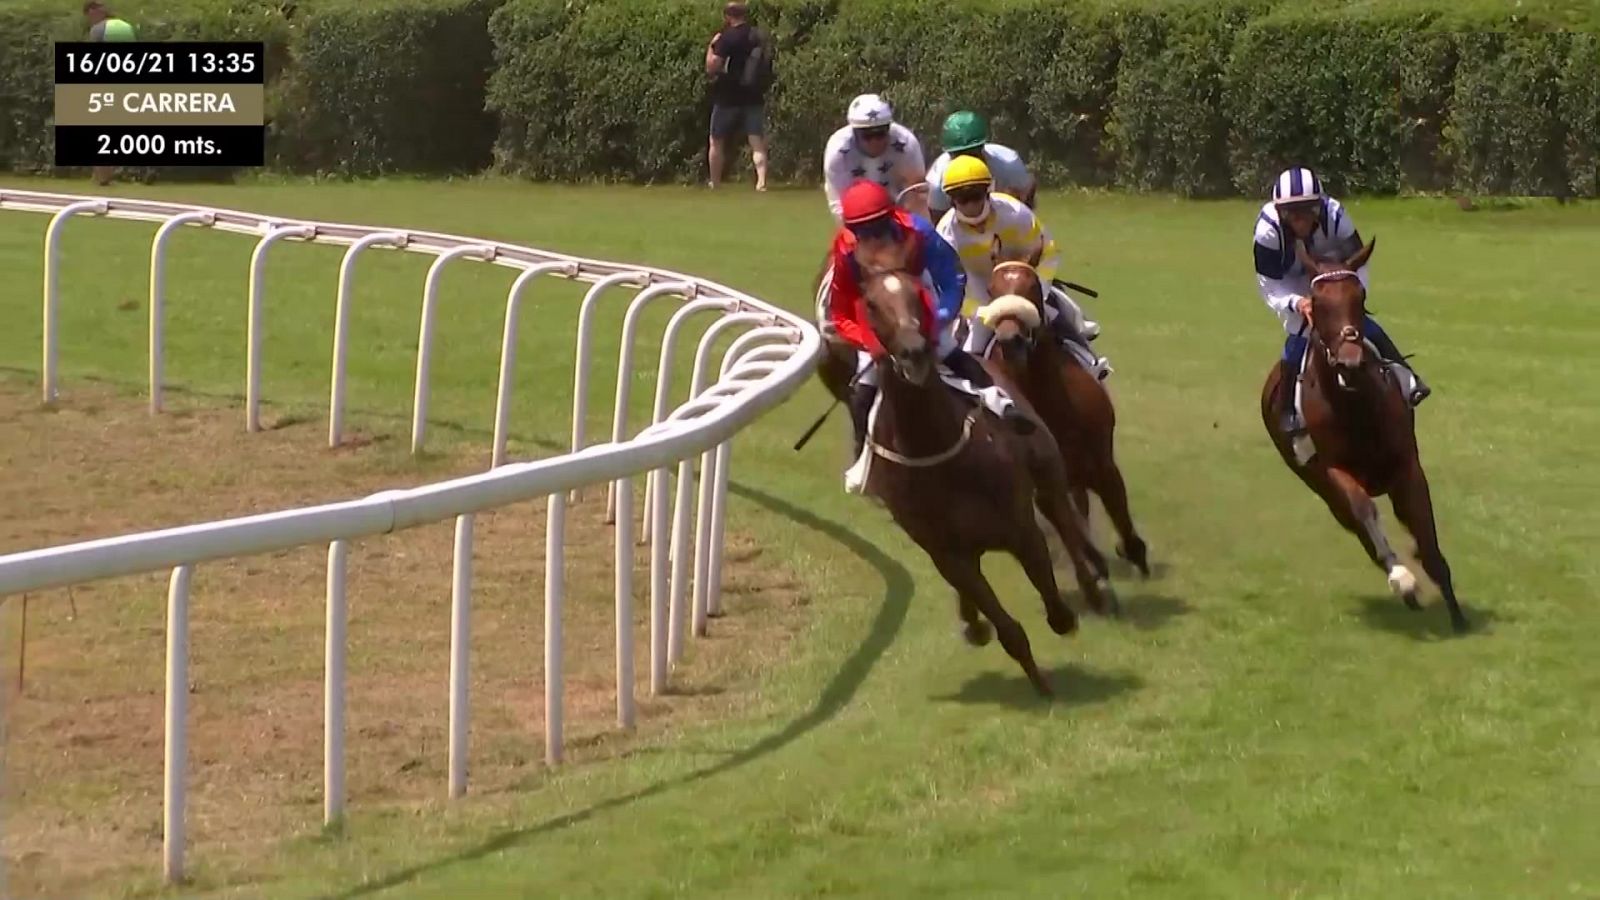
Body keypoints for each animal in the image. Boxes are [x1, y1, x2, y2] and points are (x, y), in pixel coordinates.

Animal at [851, 235, 1113, 688]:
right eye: (870, 303)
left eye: (917, 295)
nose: (915, 352)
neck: (936, 450)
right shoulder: (947, 554)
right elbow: (1005, 626)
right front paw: (1037, 681)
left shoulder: (1021, 528)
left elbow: (1054, 602)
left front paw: (1075, 609)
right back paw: (973, 623)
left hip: (1048, 470)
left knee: (1064, 517)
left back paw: (1093, 576)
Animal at [972, 253, 1152, 573]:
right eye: (992, 290)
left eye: (1032, 287)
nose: (1010, 340)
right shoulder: (1049, 486)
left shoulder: (1104, 465)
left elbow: (1128, 533)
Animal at [1260, 238, 1472, 630]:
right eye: (1318, 303)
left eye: (1358, 297)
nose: (1350, 363)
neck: (1355, 406)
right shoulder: (1333, 470)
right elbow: (1364, 511)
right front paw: (1403, 578)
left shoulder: (1406, 466)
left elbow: (1427, 537)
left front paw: (1456, 614)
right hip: (1315, 482)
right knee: (1356, 524)